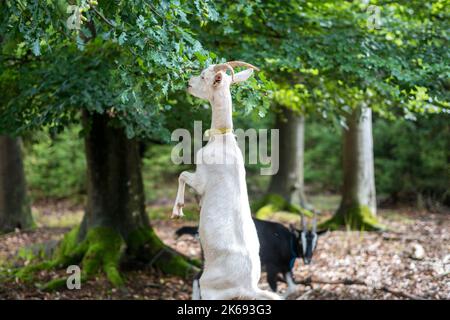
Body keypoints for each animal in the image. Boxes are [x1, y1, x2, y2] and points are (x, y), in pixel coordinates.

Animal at [172, 60, 282, 300]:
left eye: (204, 76)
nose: (188, 84)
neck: (222, 139)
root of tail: (247, 287)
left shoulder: (202, 178)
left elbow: (182, 175)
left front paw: (178, 210)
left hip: (210, 288)